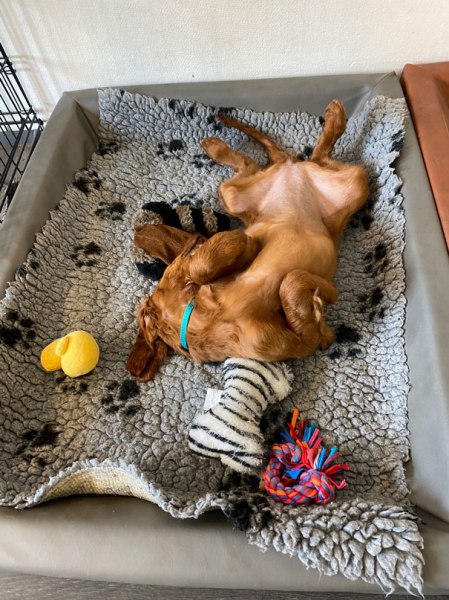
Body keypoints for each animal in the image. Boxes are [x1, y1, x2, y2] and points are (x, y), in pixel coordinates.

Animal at [127, 100, 369, 381]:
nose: (196, 241)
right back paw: (334, 118)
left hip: (239, 194)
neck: (209, 318)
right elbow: (291, 284)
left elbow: (205, 267)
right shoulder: (300, 343)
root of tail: (290, 169)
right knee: (313, 157)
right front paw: (325, 301)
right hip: (348, 184)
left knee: (265, 163)